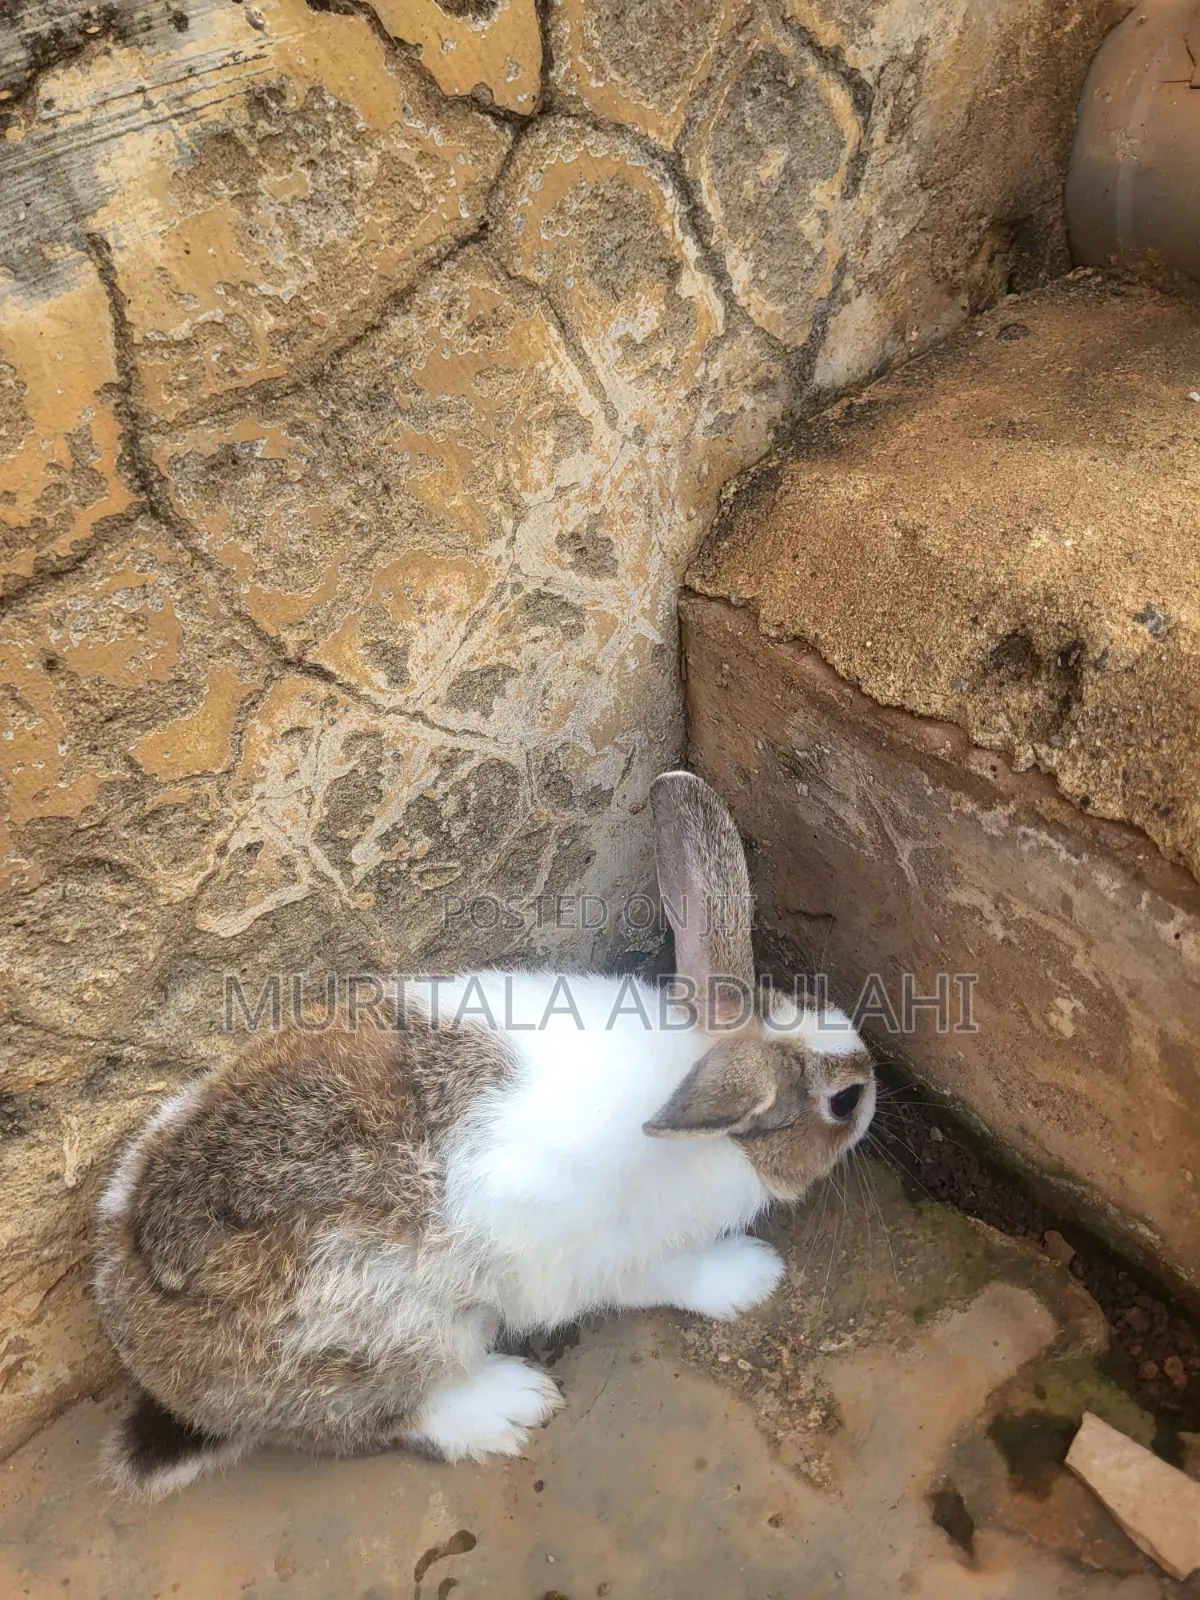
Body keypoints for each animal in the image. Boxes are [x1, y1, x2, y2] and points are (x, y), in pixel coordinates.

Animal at [93, 770, 875, 1496]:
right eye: (843, 1103)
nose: (873, 1081)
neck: (693, 1091)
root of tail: (143, 1351)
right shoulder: (611, 1258)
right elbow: (676, 1277)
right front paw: (751, 1277)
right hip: (395, 1343)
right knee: (377, 1421)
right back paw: (508, 1404)